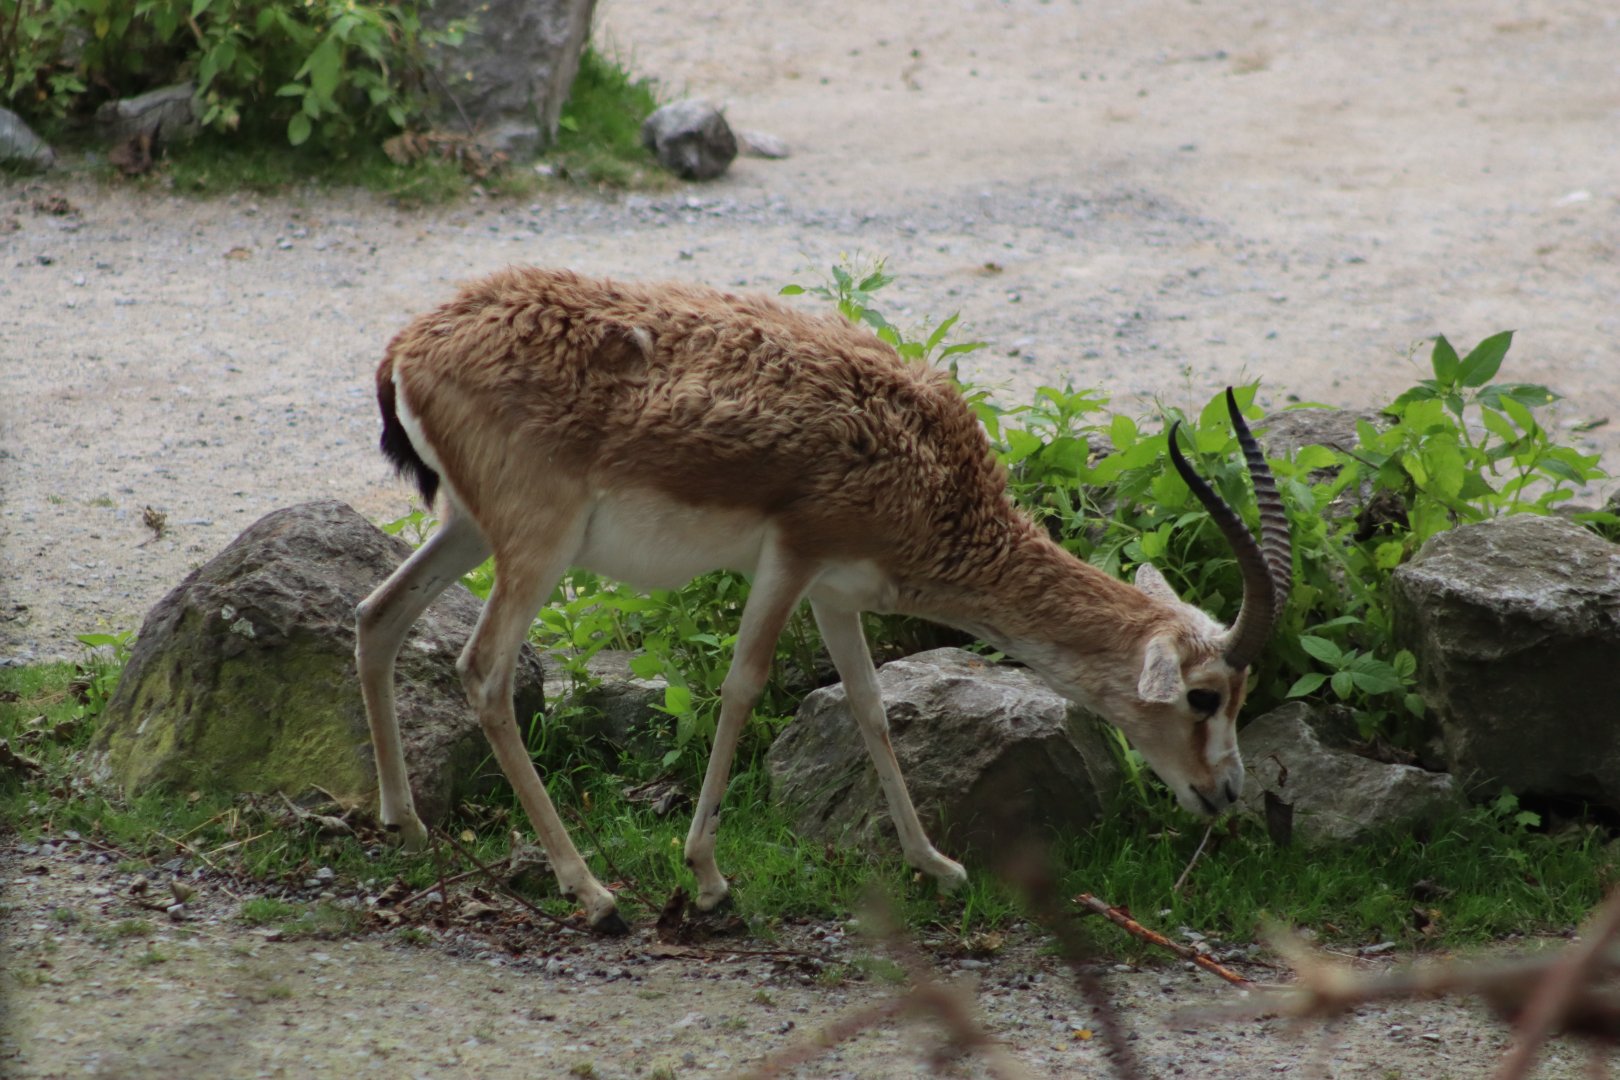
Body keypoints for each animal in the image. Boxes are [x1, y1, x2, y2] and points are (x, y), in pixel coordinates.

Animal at [355, 266, 1293, 934]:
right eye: (1204, 695)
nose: (1227, 792)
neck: (929, 469)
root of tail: (409, 346)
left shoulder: (839, 592)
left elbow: (871, 706)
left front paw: (937, 866)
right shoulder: (792, 557)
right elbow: (743, 686)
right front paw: (708, 880)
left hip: (469, 530)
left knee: (378, 616)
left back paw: (407, 826)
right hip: (537, 548)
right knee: (482, 672)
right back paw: (593, 894)